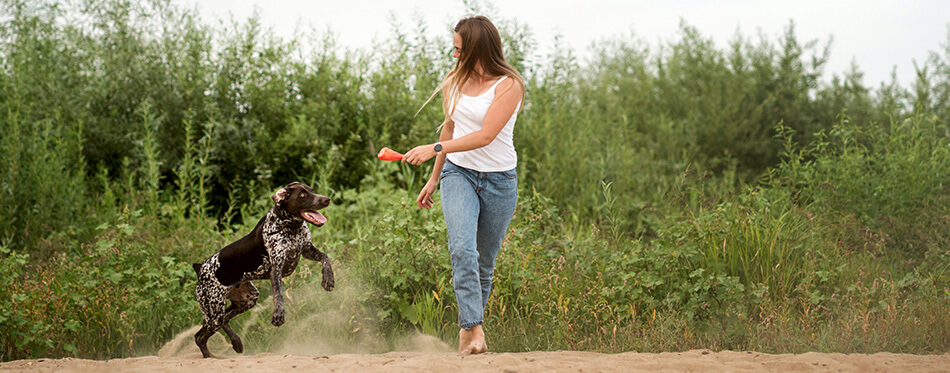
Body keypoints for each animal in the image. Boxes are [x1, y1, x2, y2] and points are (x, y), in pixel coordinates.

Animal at [192, 180, 336, 358]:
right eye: (303, 195)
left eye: (312, 190)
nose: (326, 199)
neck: (290, 227)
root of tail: (200, 269)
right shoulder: (276, 269)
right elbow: (278, 295)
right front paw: (278, 315)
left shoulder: (307, 250)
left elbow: (326, 258)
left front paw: (328, 280)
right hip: (213, 310)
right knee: (200, 336)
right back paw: (210, 357)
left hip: (246, 300)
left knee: (224, 320)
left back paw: (236, 343)